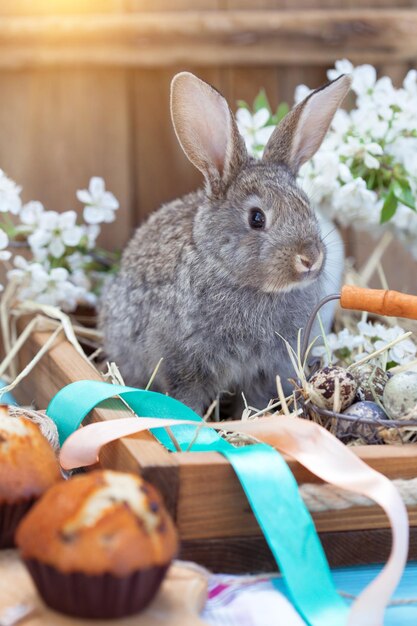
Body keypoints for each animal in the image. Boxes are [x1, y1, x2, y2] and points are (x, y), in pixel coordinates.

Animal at [100, 72, 348, 414]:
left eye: (306, 206)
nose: (310, 258)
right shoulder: (185, 364)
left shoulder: (267, 369)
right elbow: (186, 396)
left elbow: (253, 401)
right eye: (257, 218)